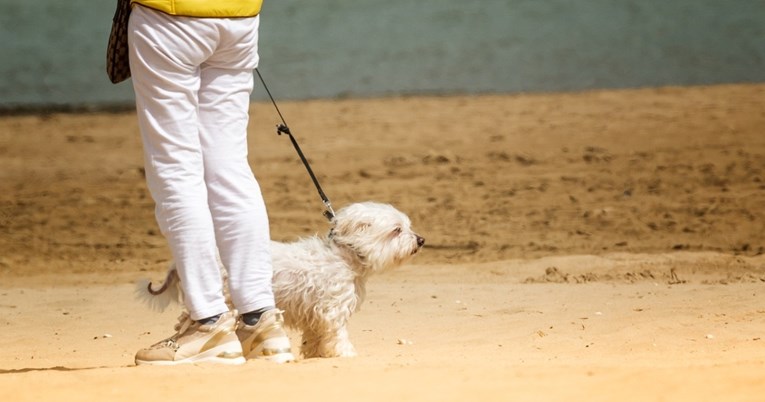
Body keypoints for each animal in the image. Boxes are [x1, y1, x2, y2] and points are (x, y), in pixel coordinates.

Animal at [137, 204, 424, 358]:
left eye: (408, 227)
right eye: (397, 230)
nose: (421, 240)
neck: (343, 255)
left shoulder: (316, 313)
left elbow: (315, 337)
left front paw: (315, 354)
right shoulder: (333, 310)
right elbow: (337, 334)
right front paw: (345, 354)